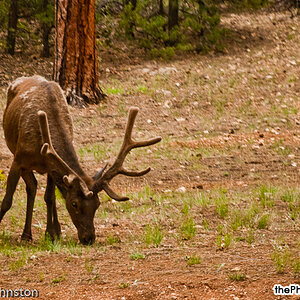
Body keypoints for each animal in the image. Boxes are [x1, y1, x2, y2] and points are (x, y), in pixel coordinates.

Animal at [0, 76, 162, 245]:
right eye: (74, 203)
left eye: (97, 204)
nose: (88, 238)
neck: (41, 145)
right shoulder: (18, 160)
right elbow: (7, 201)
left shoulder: (51, 165)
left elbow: (49, 198)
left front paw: (51, 233)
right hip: (16, 152)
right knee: (31, 187)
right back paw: (26, 235)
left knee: (35, 187)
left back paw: (38, 233)